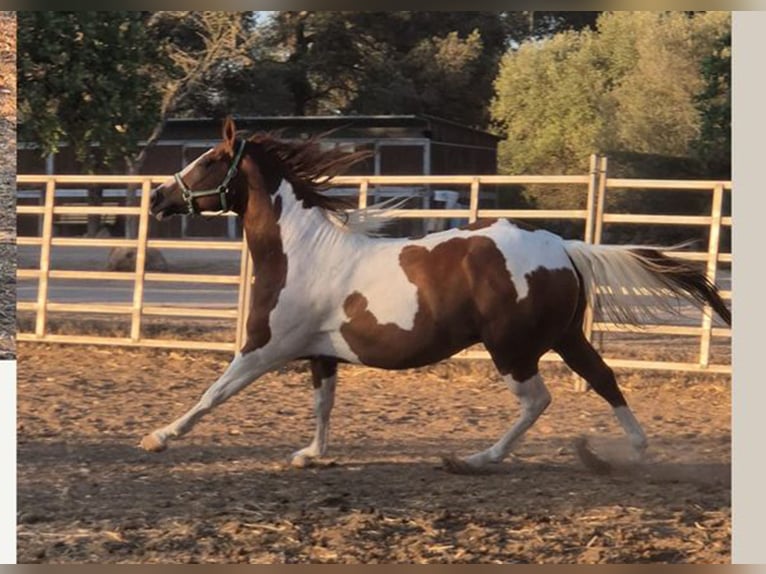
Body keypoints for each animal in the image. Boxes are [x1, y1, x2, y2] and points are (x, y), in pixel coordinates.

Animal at [142, 117, 731, 473]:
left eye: (208, 161)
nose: (158, 197)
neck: (300, 250)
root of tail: (562, 246)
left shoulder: (266, 347)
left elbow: (213, 393)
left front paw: (159, 437)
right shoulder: (319, 354)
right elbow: (323, 404)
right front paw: (311, 454)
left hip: (511, 348)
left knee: (537, 400)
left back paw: (476, 459)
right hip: (565, 337)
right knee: (604, 379)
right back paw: (634, 452)